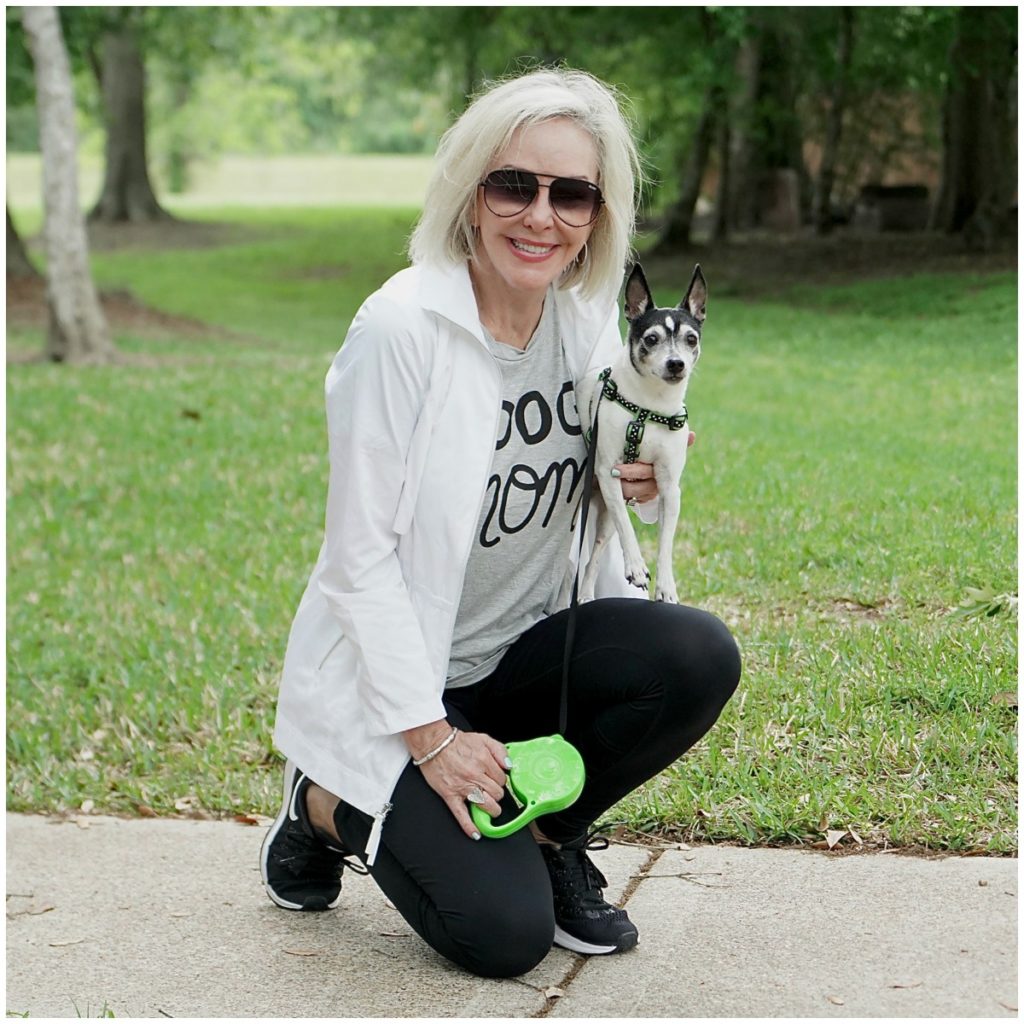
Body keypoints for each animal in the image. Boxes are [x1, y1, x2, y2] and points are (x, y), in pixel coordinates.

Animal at [581, 260, 708, 606]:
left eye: (691, 339)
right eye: (651, 339)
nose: (676, 363)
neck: (650, 408)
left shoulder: (668, 488)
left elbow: (666, 543)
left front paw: (666, 585)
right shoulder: (610, 473)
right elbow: (629, 528)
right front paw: (637, 567)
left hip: (607, 517)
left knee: (595, 556)